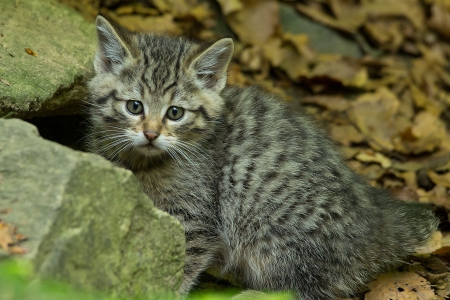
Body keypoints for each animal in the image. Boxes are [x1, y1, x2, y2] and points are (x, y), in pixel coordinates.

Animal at [87, 15, 440, 298]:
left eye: (175, 113)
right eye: (134, 106)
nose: (150, 134)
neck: (144, 162)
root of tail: (377, 222)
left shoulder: (198, 218)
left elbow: (182, 263)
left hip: (276, 235)